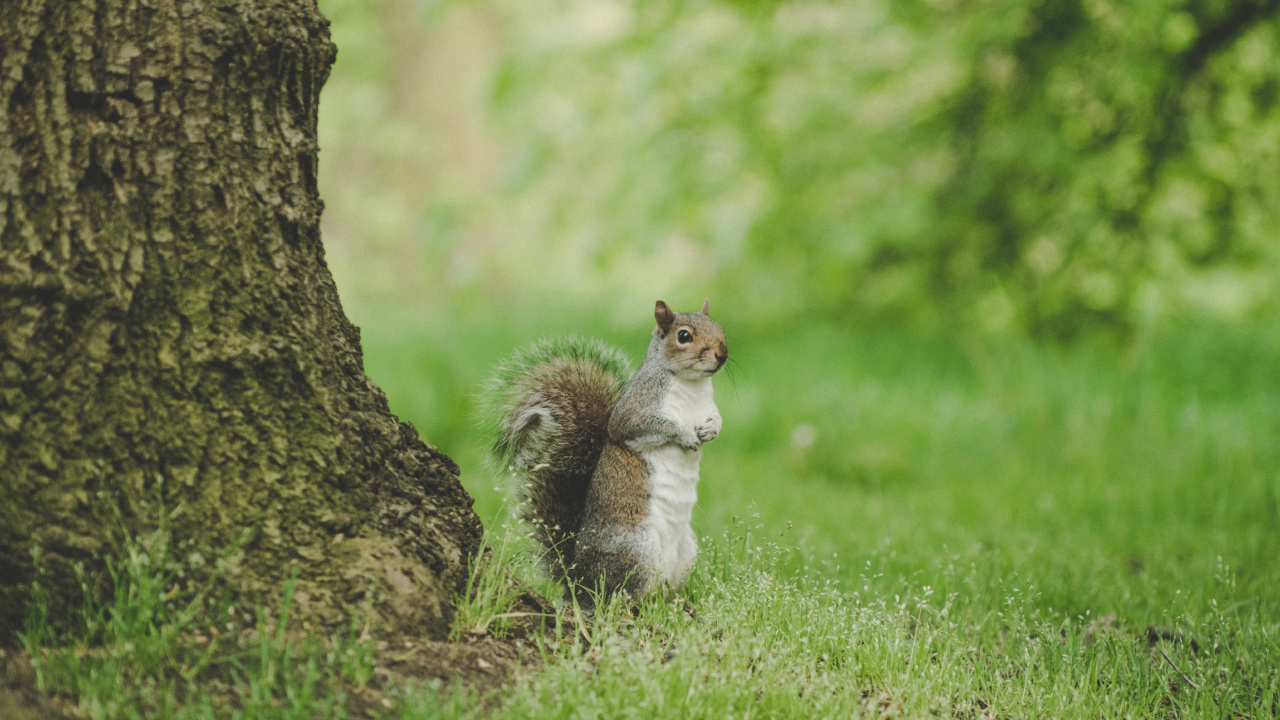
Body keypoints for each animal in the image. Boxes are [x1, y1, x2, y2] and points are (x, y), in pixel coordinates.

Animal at [482, 300, 728, 607]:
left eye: (720, 328)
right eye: (684, 336)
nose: (722, 355)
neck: (692, 385)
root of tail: (578, 583)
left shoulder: (708, 407)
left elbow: (717, 419)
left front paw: (711, 431)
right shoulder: (634, 411)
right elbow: (649, 425)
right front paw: (685, 435)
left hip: (685, 553)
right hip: (637, 547)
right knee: (617, 596)